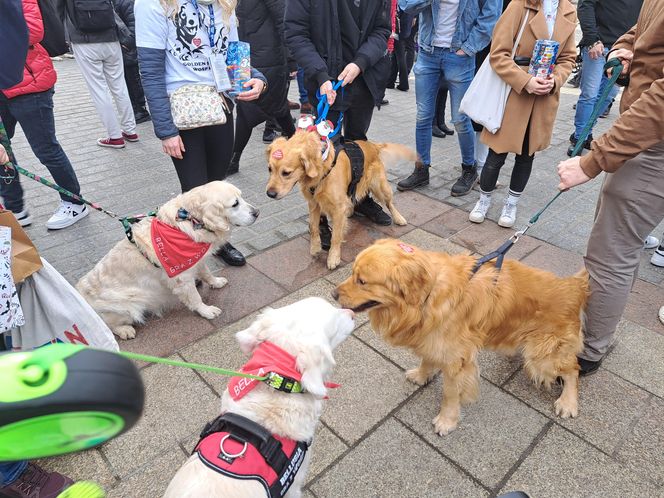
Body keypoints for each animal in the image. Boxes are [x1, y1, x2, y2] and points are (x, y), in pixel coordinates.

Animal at [75, 181, 256, 340]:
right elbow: (195, 298)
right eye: (235, 204)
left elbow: (206, 272)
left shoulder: (196, 261)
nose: (257, 212)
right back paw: (125, 330)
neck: (188, 219)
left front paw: (216, 282)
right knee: (107, 325)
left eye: (242, 196)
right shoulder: (181, 278)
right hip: (129, 306)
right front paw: (206, 311)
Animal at [266, 128, 416, 268]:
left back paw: (398, 218)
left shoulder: (337, 208)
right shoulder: (314, 202)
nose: (269, 194)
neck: (323, 166)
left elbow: (336, 236)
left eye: (286, 173)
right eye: (269, 169)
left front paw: (333, 258)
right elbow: (314, 226)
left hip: (380, 187)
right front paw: (315, 247)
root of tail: (372, 145)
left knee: (390, 203)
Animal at [334, 239, 588, 434]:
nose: (333, 293)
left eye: (362, 281)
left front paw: (447, 421)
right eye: (352, 272)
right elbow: (427, 359)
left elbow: (450, 393)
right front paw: (421, 375)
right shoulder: (433, 339)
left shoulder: (457, 359)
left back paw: (568, 402)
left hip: (541, 356)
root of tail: (574, 287)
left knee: (573, 369)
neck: (428, 296)